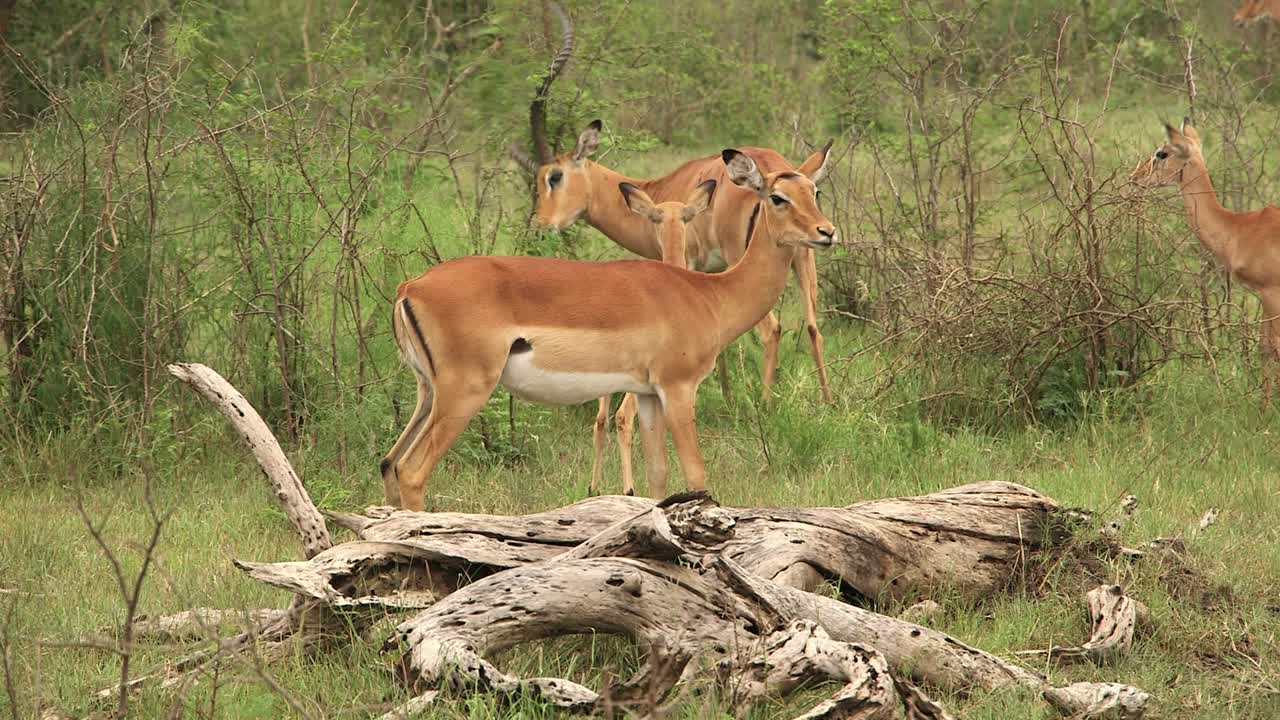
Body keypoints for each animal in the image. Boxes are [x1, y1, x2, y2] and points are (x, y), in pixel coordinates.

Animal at [380, 150, 835, 511]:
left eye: (814, 192)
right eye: (777, 197)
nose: (826, 232)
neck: (709, 295)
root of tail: (410, 287)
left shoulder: (648, 395)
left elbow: (658, 476)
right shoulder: (678, 388)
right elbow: (696, 476)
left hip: (429, 391)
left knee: (389, 463)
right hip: (465, 390)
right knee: (412, 472)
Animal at [1130, 118, 1280, 404]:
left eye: (1162, 153)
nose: (1134, 177)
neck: (1239, 230)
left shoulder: (1271, 292)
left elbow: (1272, 348)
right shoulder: (1265, 296)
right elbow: (1267, 348)